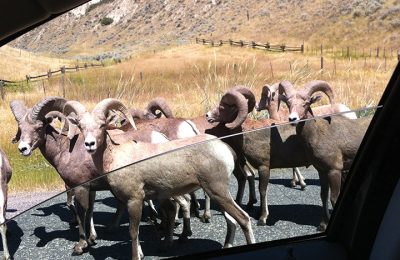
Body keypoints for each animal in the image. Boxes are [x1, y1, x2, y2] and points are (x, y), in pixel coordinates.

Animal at [64, 98, 255, 258]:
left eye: (102, 125)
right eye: (81, 126)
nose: (89, 144)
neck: (115, 156)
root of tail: (224, 148)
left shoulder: (134, 200)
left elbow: (133, 232)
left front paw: (137, 256)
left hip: (217, 191)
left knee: (244, 218)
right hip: (219, 195)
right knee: (232, 220)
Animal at [276, 79, 370, 230]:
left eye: (306, 103)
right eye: (289, 103)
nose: (292, 119)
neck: (317, 135)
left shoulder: (334, 171)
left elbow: (333, 198)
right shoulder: (322, 171)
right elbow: (323, 196)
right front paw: (323, 225)